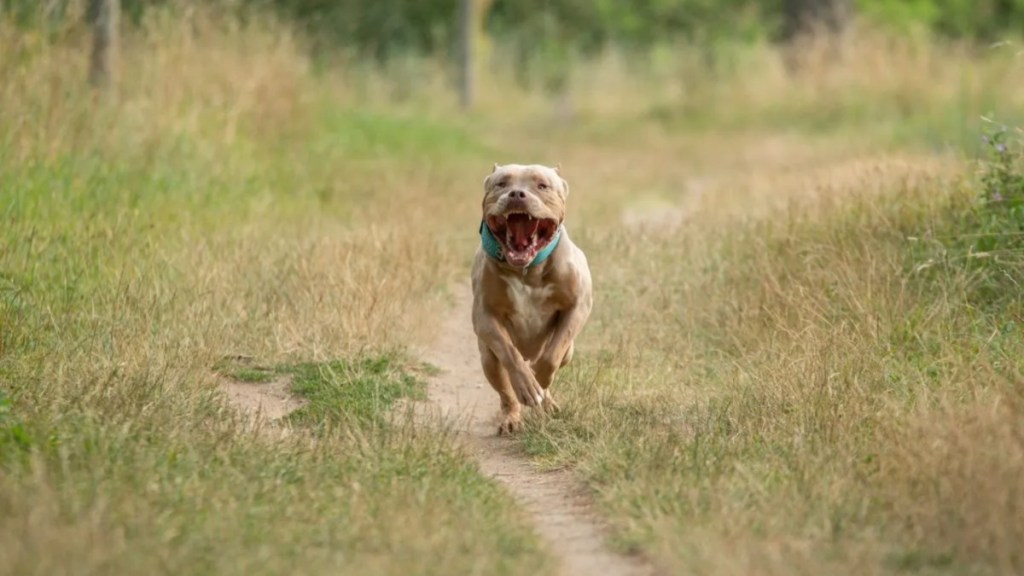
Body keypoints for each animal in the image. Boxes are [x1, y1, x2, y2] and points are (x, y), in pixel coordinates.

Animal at [468, 161, 593, 430]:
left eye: (542, 185)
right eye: (501, 183)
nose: (516, 194)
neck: (527, 270)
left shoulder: (578, 306)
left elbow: (551, 356)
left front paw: (539, 381)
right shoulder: (484, 316)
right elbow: (509, 353)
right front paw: (526, 385)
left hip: (570, 352)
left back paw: (547, 402)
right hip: (488, 358)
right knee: (505, 390)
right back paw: (512, 416)